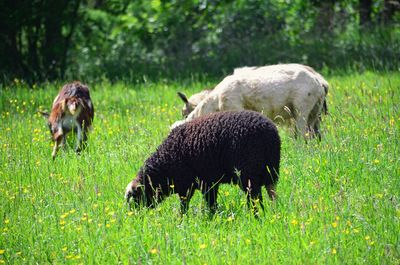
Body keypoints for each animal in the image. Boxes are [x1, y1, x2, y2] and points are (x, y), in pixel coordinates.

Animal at [126, 109, 282, 214]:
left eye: (134, 198)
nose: (134, 217)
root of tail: (269, 131)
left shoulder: (196, 184)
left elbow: (189, 204)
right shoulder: (207, 183)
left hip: (249, 173)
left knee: (254, 198)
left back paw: (255, 215)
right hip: (270, 171)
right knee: (270, 194)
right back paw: (272, 213)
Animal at [174, 63, 328, 139]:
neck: (214, 102)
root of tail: (319, 83)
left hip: (302, 108)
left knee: (302, 135)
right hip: (315, 112)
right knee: (314, 135)